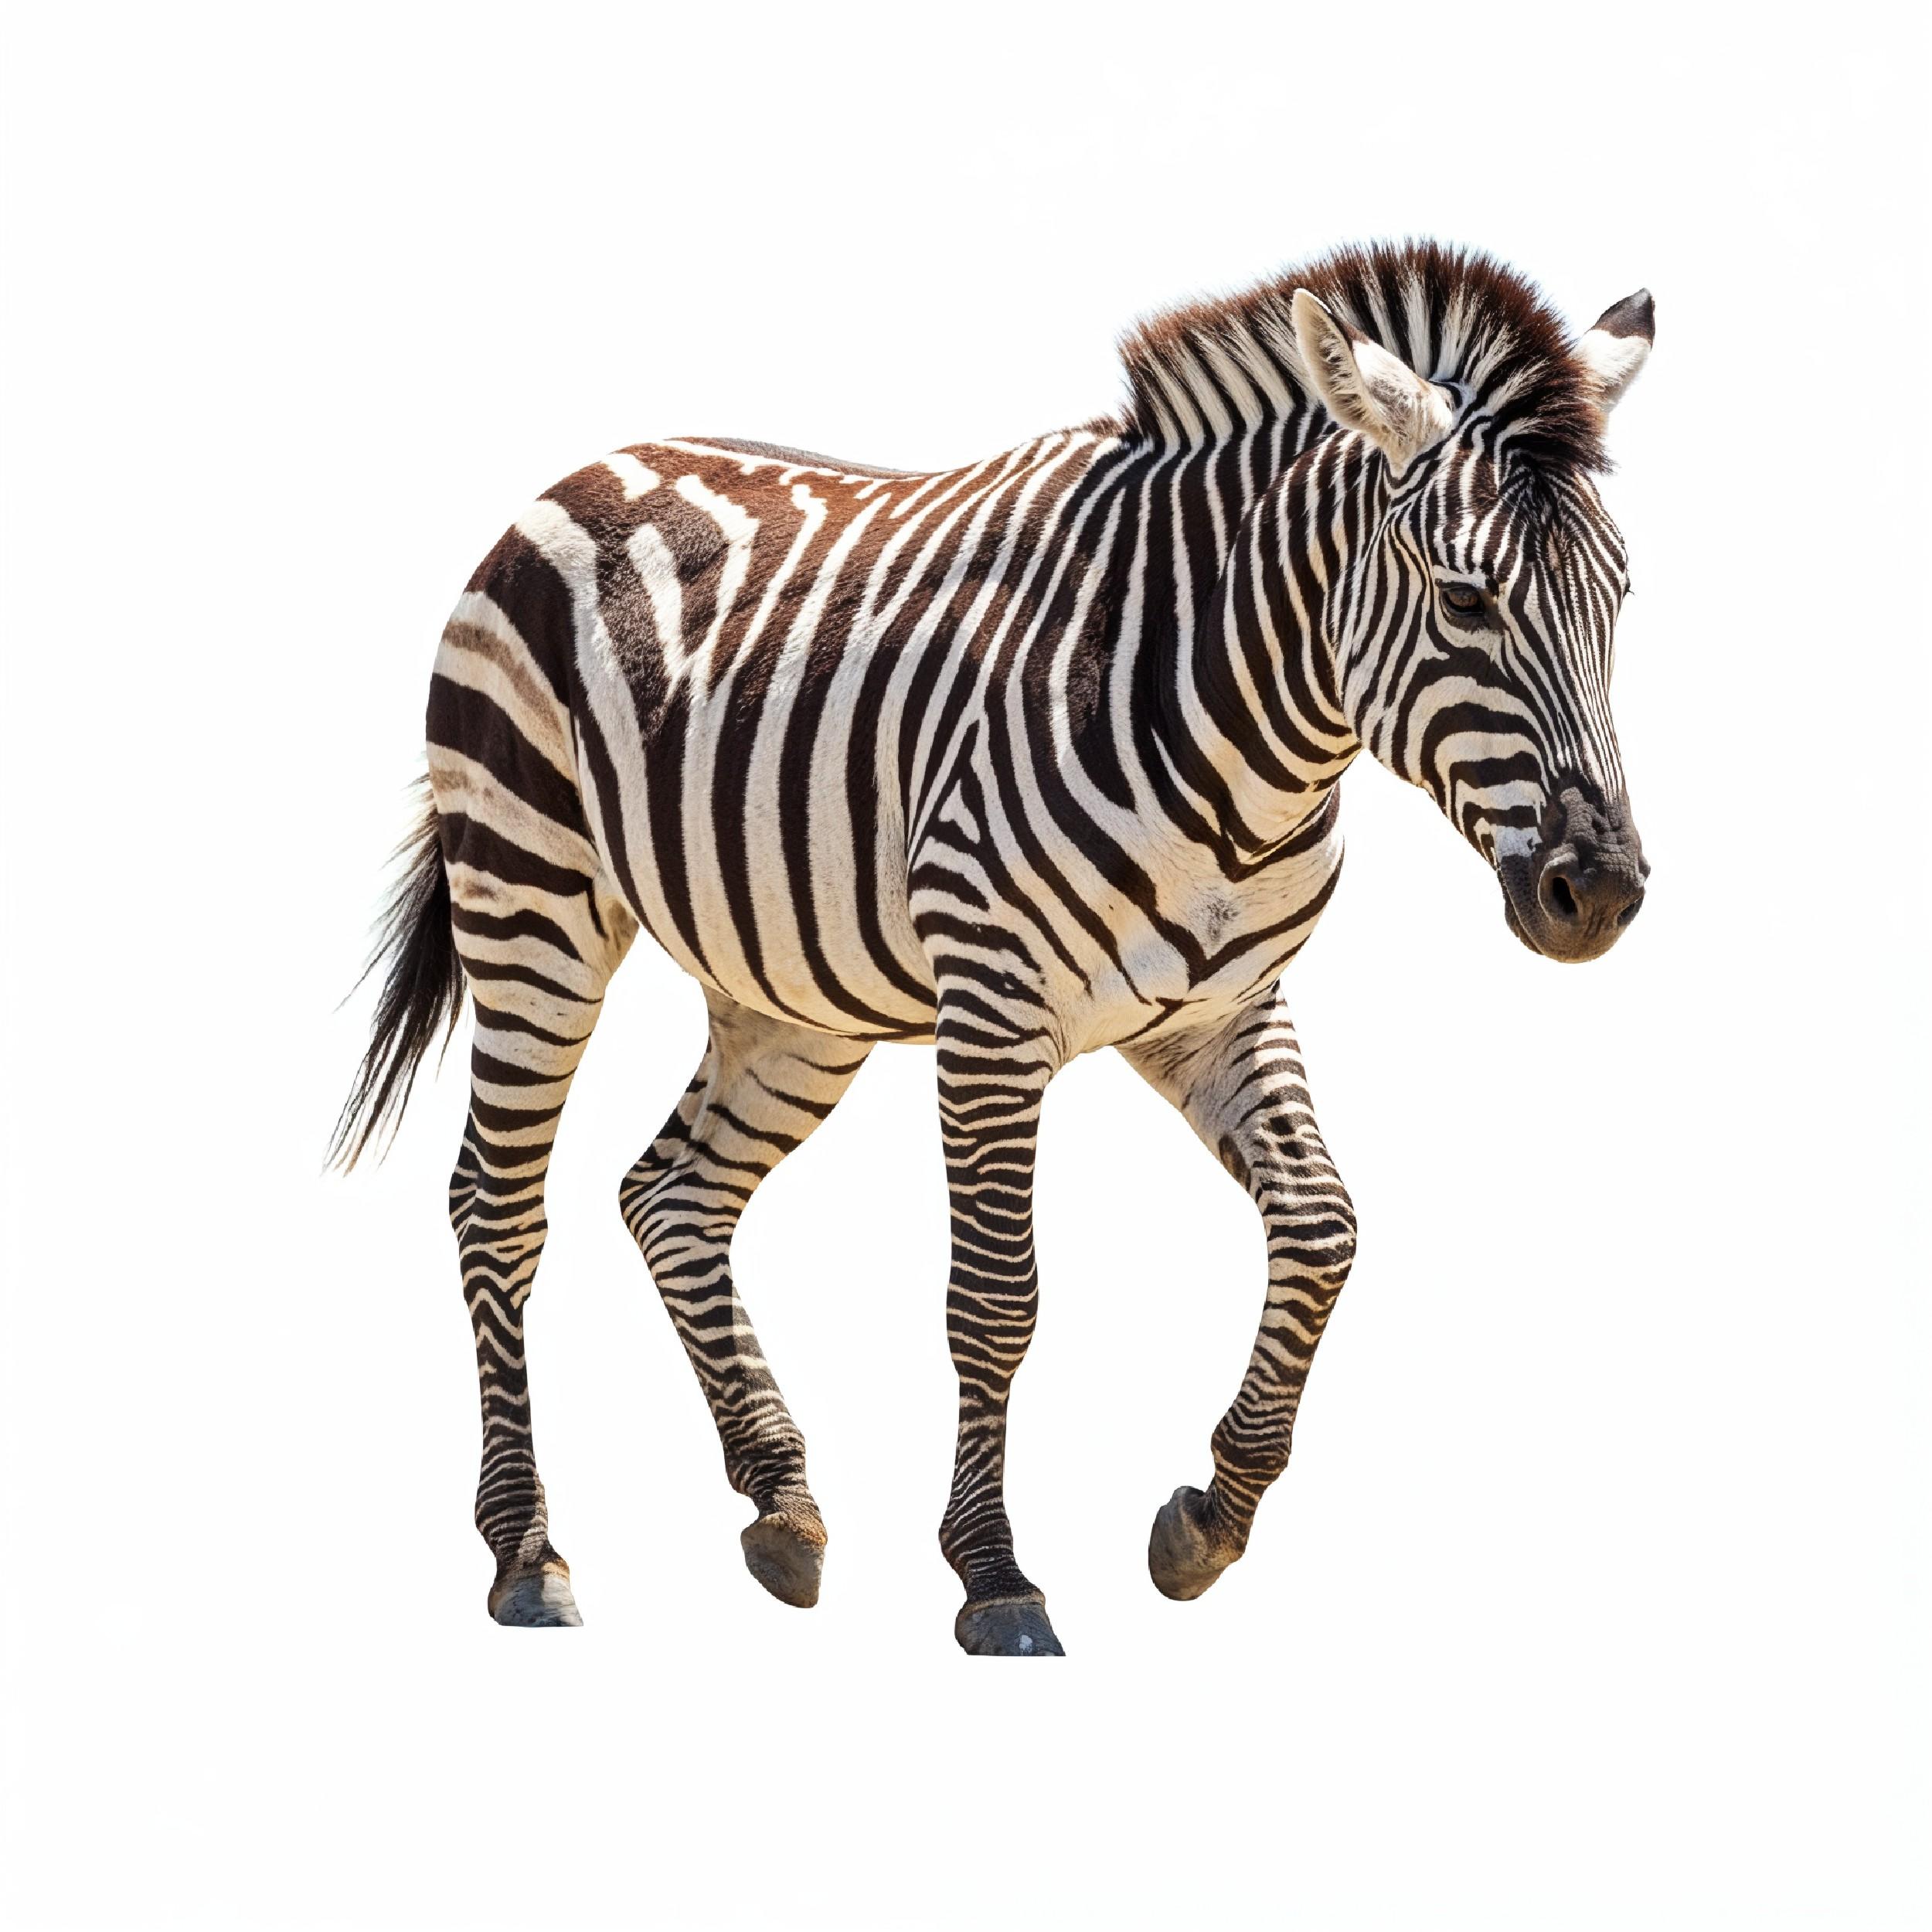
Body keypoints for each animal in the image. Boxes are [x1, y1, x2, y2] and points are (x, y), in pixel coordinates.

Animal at [334, 241, 1654, 1656]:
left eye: (1620, 599)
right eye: (1466, 599)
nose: (1599, 895)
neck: (1239, 730)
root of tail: (582, 471)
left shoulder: (1223, 1005)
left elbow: (1322, 1228)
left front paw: (1209, 1517)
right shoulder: (992, 1009)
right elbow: (997, 1298)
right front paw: (995, 1574)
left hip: (794, 993)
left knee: (669, 1191)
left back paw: (782, 1501)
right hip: (530, 890)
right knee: (495, 1207)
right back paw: (527, 1554)